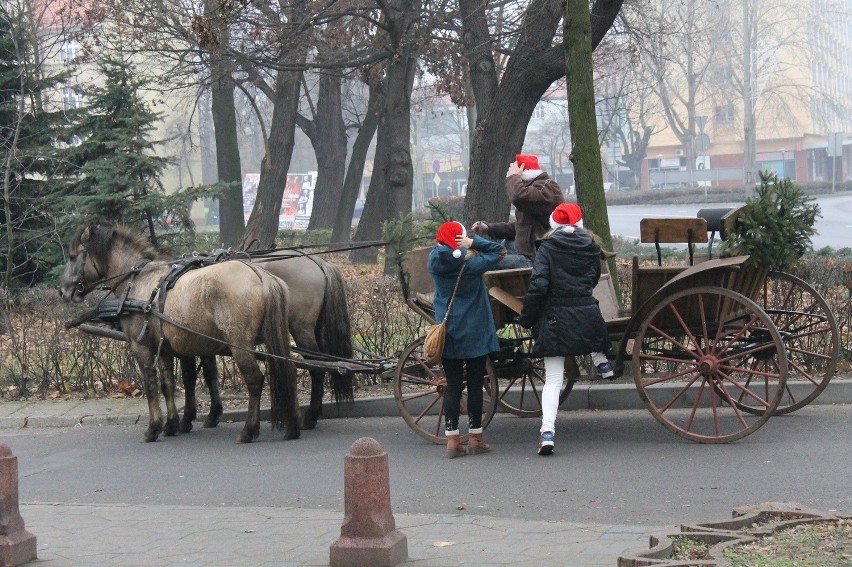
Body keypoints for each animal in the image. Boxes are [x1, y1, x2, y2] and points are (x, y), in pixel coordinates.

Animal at [58, 225, 302, 444]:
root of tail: (260, 275)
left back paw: (249, 430)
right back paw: (293, 426)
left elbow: (151, 386)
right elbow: (167, 385)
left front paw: (154, 427)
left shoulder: (141, 347)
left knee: (255, 380)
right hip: (272, 337)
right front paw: (172, 424)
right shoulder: (165, 348)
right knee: (288, 371)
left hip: (239, 344)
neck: (139, 282)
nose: (62, 291)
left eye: (72, 257)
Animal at [178, 251, 354, 432]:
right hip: (317, 328)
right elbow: (210, 374)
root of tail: (316, 260)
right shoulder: (205, 343)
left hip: (301, 330)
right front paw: (213, 414)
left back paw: (310, 417)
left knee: (317, 368)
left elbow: (191, 376)